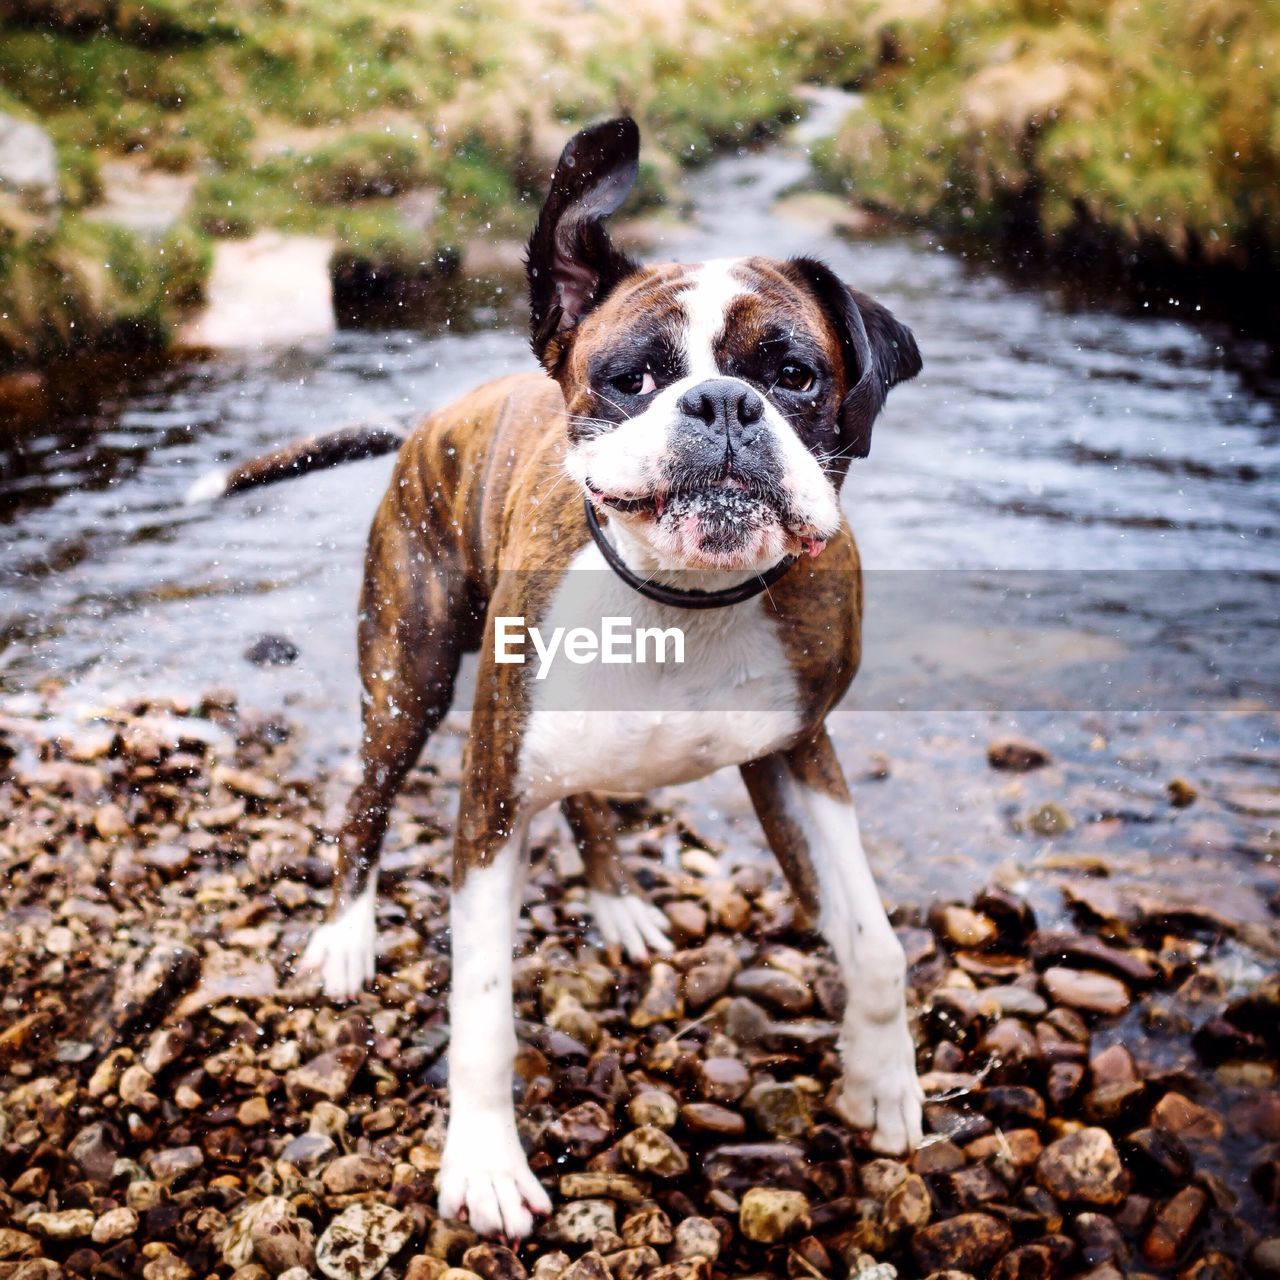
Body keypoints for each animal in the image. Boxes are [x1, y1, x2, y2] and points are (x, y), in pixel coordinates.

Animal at [194, 115, 921, 1233]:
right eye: (630, 378)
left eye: (795, 373)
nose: (723, 402)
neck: (682, 603)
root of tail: (431, 420)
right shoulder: (491, 803)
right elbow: (484, 1010)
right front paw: (486, 1163)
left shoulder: (800, 752)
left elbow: (873, 944)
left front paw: (882, 1082)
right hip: (407, 681)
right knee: (365, 800)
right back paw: (347, 939)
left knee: (586, 801)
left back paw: (617, 904)